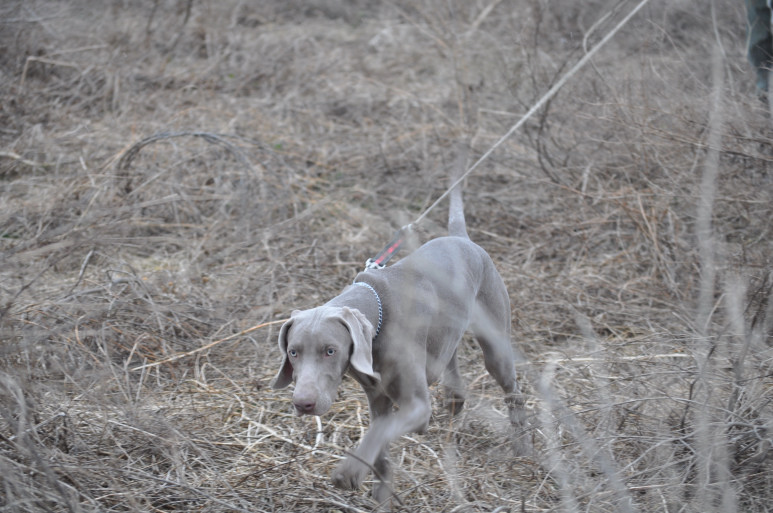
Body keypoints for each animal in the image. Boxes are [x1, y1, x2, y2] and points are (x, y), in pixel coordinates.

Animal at [272, 165, 524, 504]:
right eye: (293, 352)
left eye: (330, 350)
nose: (303, 404)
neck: (377, 315)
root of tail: (461, 237)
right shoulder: (377, 397)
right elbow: (379, 442)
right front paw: (381, 494)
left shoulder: (416, 406)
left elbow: (380, 432)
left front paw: (349, 471)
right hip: (446, 335)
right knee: (453, 376)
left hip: (495, 344)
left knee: (512, 390)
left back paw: (524, 446)